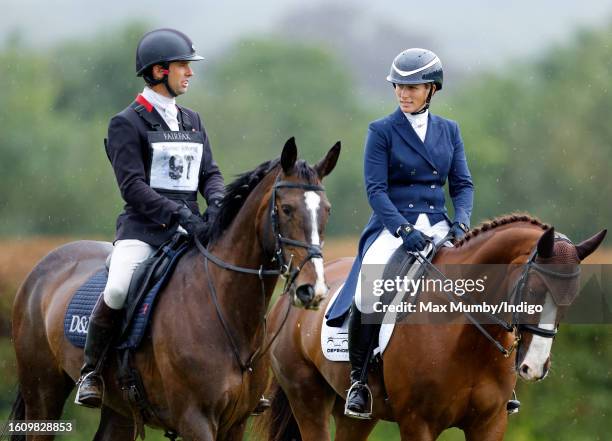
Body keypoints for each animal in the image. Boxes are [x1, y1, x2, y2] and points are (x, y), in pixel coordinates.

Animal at [5, 137, 340, 436]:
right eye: (286, 209)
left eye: (327, 210)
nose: (312, 290)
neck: (223, 308)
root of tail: (44, 267)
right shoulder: (195, 419)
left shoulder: (236, 422)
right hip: (42, 394)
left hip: (119, 411)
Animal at [256, 216, 604, 440]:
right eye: (533, 290)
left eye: (571, 298)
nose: (535, 367)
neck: (466, 337)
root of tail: (289, 296)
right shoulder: (417, 422)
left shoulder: (490, 423)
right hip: (307, 398)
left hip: (355, 415)